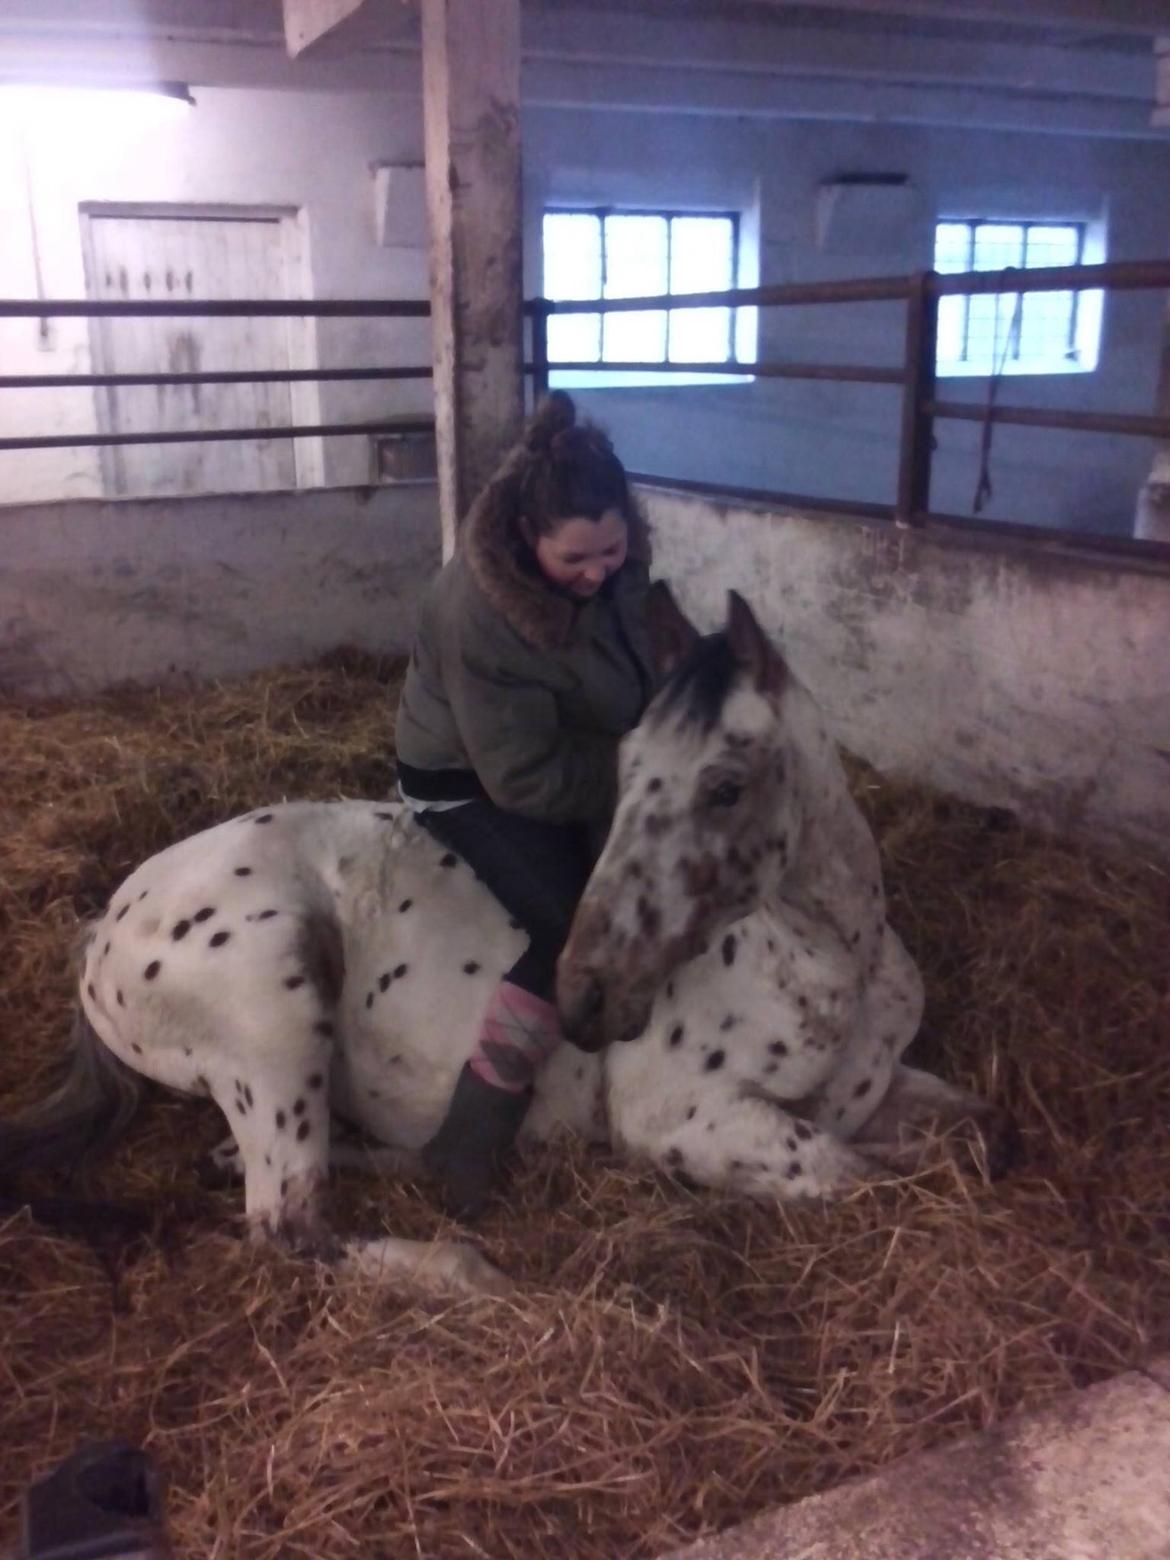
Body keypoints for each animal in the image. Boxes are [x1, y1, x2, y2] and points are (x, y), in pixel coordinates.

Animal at [0, 586, 1010, 1291]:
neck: (826, 961)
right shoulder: (684, 1117)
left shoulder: (870, 1086)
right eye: (626, 769)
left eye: (726, 787)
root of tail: (101, 933)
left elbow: (972, 1134)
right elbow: (862, 1174)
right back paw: (473, 1275)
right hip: (273, 1017)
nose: (592, 997)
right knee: (291, 1224)